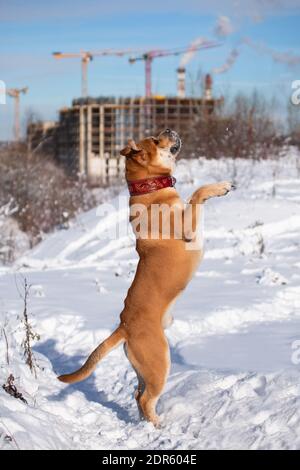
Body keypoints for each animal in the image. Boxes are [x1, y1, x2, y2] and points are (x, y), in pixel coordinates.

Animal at [57, 129, 233, 426]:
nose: (169, 129)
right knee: (145, 399)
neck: (149, 186)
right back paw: (159, 426)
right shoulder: (187, 226)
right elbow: (197, 193)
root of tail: (124, 326)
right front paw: (219, 187)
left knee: (137, 394)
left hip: (144, 368)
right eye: (155, 139)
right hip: (159, 362)